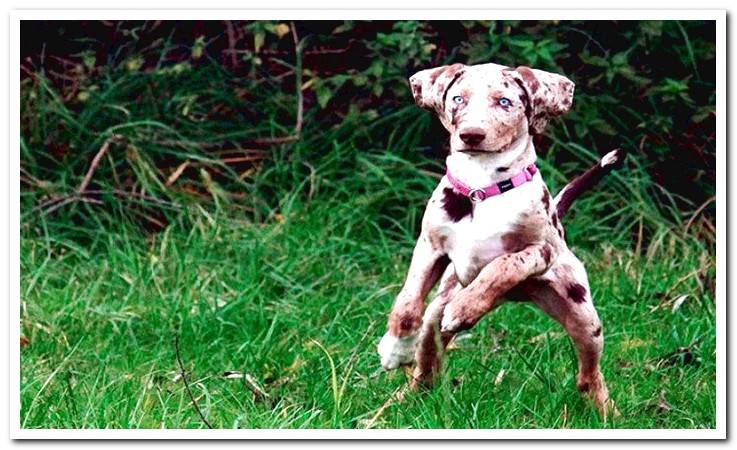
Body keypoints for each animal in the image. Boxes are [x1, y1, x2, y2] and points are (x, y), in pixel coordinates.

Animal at [376, 62, 624, 418]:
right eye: (458, 99)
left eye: (505, 102)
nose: (471, 134)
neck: (482, 186)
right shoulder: (430, 247)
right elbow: (407, 302)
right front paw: (395, 348)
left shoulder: (540, 251)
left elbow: (503, 266)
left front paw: (466, 306)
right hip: (435, 317)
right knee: (427, 370)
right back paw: (398, 402)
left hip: (583, 316)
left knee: (589, 374)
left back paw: (607, 413)